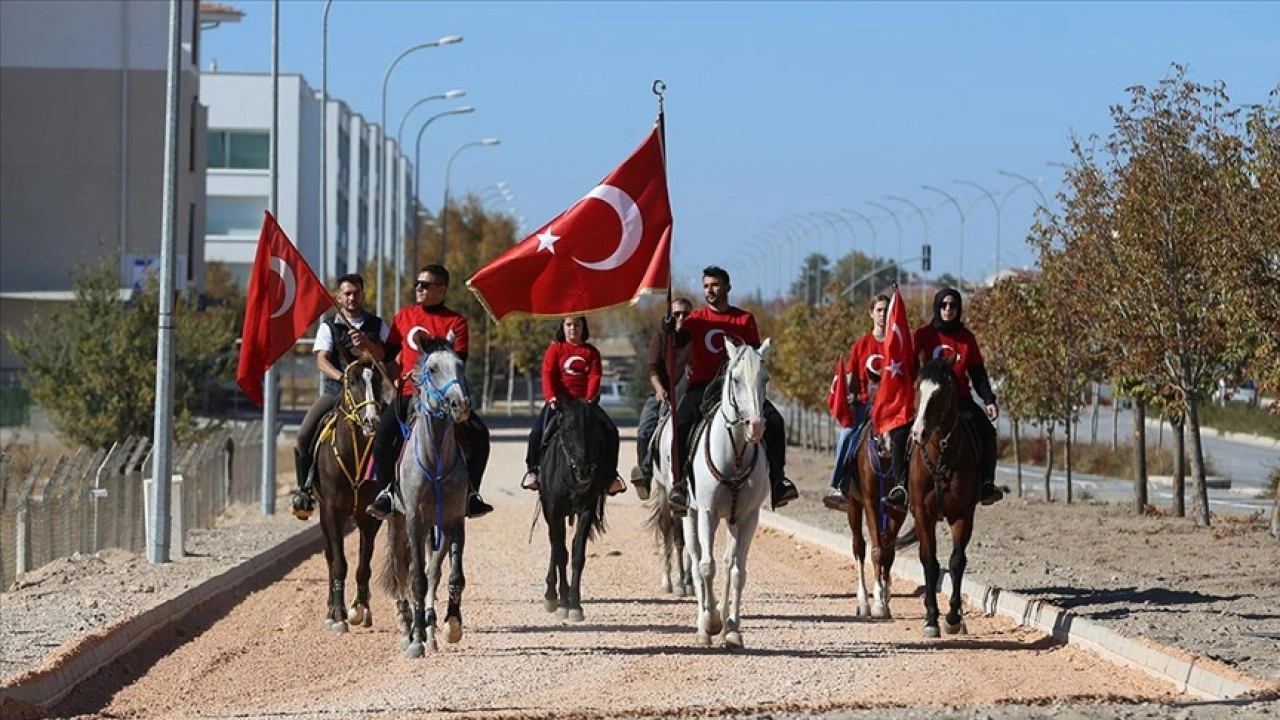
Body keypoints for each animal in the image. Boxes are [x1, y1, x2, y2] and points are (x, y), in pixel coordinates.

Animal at [311, 340, 386, 627]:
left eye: (377, 380)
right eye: (351, 380)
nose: (371, 420)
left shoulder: (369, 515)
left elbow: (364, 564)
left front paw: (360, 608)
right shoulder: (333, 511)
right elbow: (339, 562)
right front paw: (338, 613)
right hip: (323, 512)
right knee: (330, 556)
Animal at [537, 394, 611, 620]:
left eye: (594, 428)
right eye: (568, 428)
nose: (584, 470)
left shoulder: (586, 510)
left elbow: (577, 554)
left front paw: (575, 605)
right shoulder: (553, 510)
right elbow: (561, 553)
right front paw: (562, 603)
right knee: (555, 544)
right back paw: (551, 595)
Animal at [680, 335, 768, 645]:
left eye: (765, 378)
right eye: (736, 379)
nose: (756, 425)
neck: (736, 454)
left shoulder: (749, 516)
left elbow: (738, 571)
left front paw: (731, 627)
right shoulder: (707, 512)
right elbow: (707, 566)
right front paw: (710, 622)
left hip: (731, 519)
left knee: (729, 562)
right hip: (690, 514)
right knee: (696, 560)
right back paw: (702, 623)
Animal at [839, 420, 911, 617]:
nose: (886, 445)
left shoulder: (898, 509)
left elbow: (889, 553)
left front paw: (885, 597)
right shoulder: (870, 502)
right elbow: (877, 551)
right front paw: (878, 603)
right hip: (854, 504)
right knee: (859, 546)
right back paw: (863, 602)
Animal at [906, 356, 983, 635]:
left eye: (943, 391)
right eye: (917, 386)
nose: (918, 433)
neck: (940, 455)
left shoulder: (963, 514)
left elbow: (957, 561)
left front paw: (952, 617)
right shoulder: (922, 514)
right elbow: (930, 563)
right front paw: (931, 618)